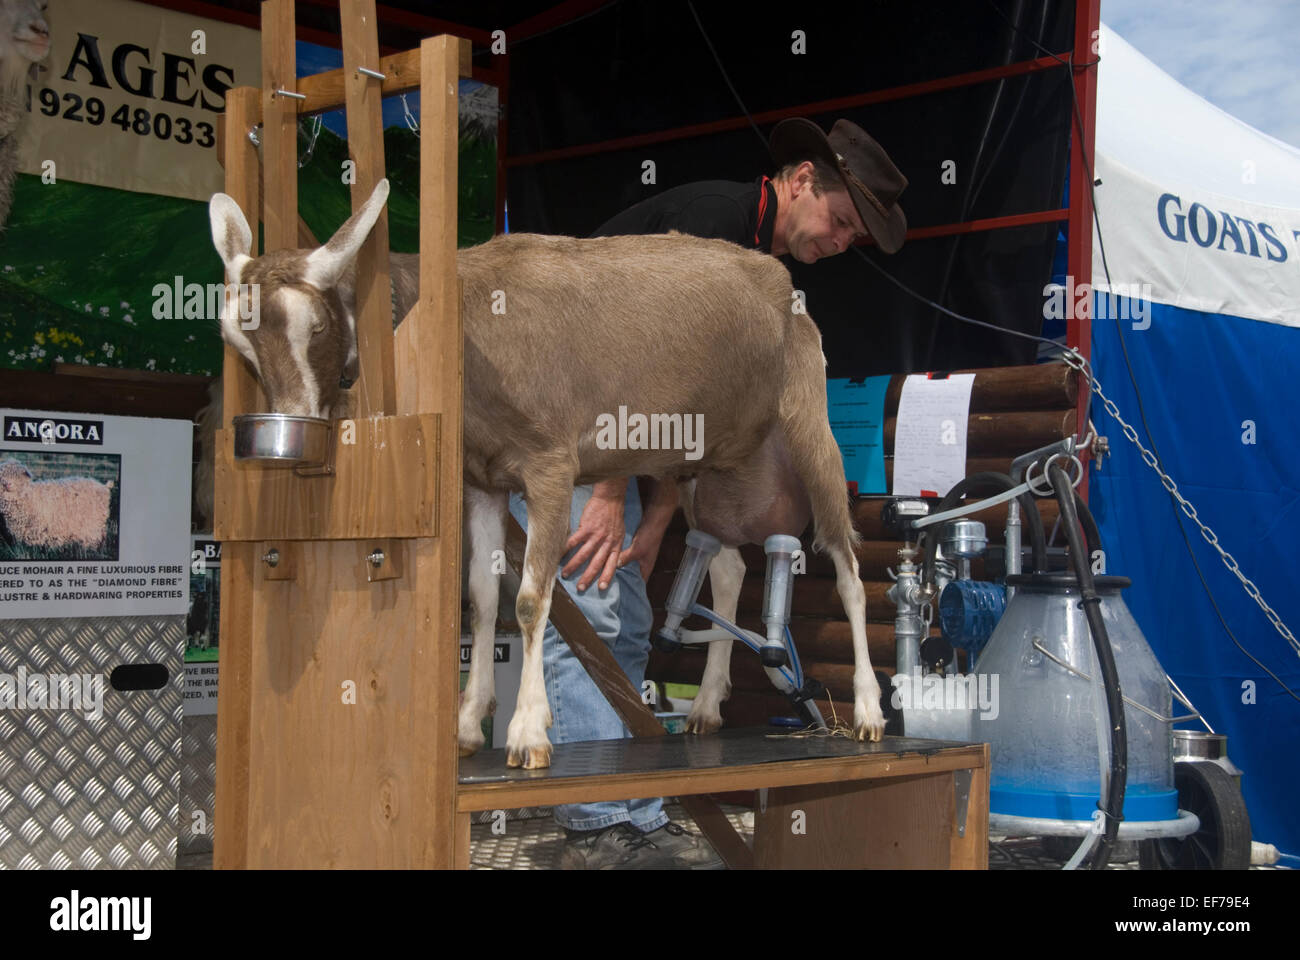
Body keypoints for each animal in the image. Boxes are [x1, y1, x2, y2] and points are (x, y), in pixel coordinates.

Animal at [210, 179, 883, 764]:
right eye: (239, 344)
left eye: (318, 325)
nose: (292, 427)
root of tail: (784, 284)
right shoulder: (482, 481)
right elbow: (482, 600)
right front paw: (466, 723)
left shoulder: (551, 465)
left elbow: (532, 600)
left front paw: (528, 731)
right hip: (707, 465)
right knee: (727, 568)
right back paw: (708, 705)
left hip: (809, 423)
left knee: (846, 565)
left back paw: (870, 711)